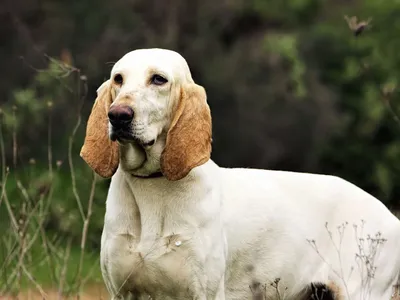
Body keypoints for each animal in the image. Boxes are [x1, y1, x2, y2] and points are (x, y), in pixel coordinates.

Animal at [79, 48, 400, 298]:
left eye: (159, 79)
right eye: (118, 79)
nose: (117, 115)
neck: (154, 188)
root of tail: (389, 216)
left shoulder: (203, 293)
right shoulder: (122, 291)